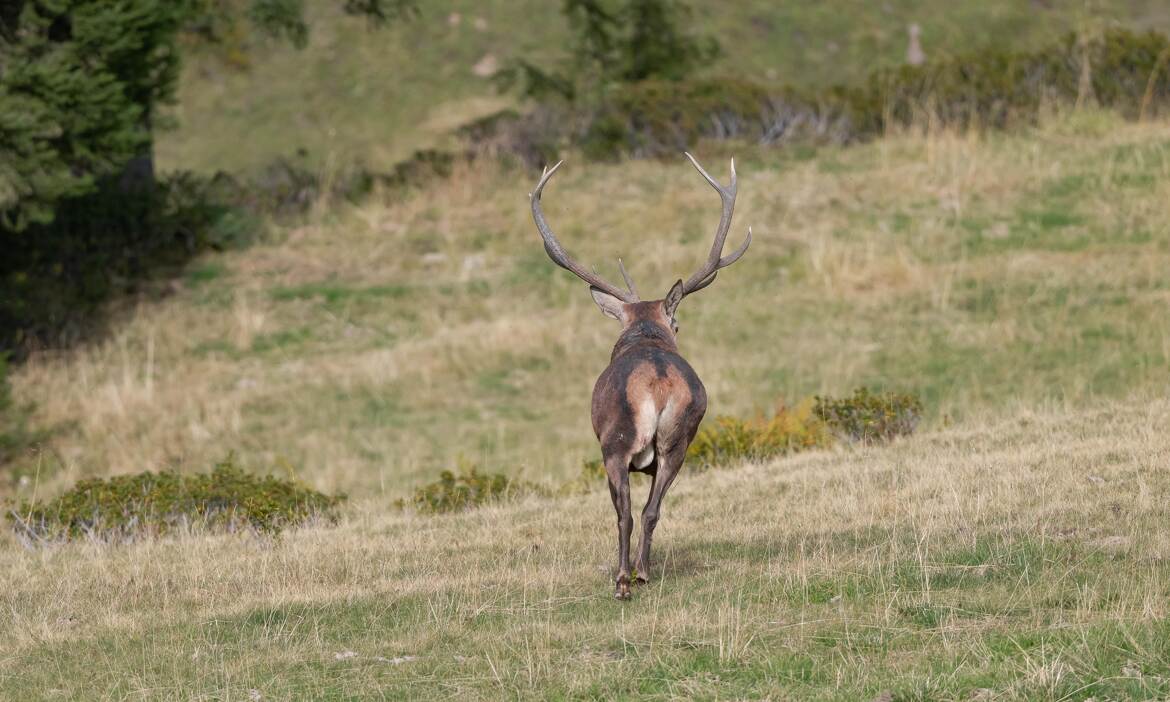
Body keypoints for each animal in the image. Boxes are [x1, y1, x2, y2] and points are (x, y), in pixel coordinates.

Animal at [528, 152, 748, 596]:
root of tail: (659, 381)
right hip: (679, 443)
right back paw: (643, 571)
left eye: (676, 324)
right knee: (652, 510)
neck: (646, 336)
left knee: (626, 513)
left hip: (616, 443)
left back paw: (623, 579)